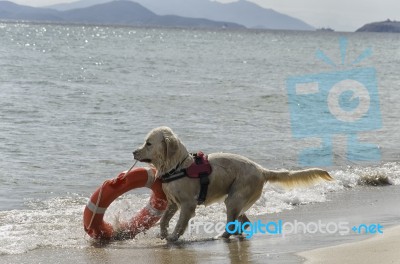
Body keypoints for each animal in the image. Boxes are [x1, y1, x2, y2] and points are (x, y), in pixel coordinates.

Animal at [133, 126, 332, 241]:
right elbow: (163, 219)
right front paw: (163, 234)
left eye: (148, 143)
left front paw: (173, 237)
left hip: (234, 199)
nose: (134, 152)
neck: (177, 166)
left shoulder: (188, 204)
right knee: (243, 222)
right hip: (236, 200)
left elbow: (180, 224)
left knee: (233, 223)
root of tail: (261, 170)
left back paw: (221, 235)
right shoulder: (173, 203)